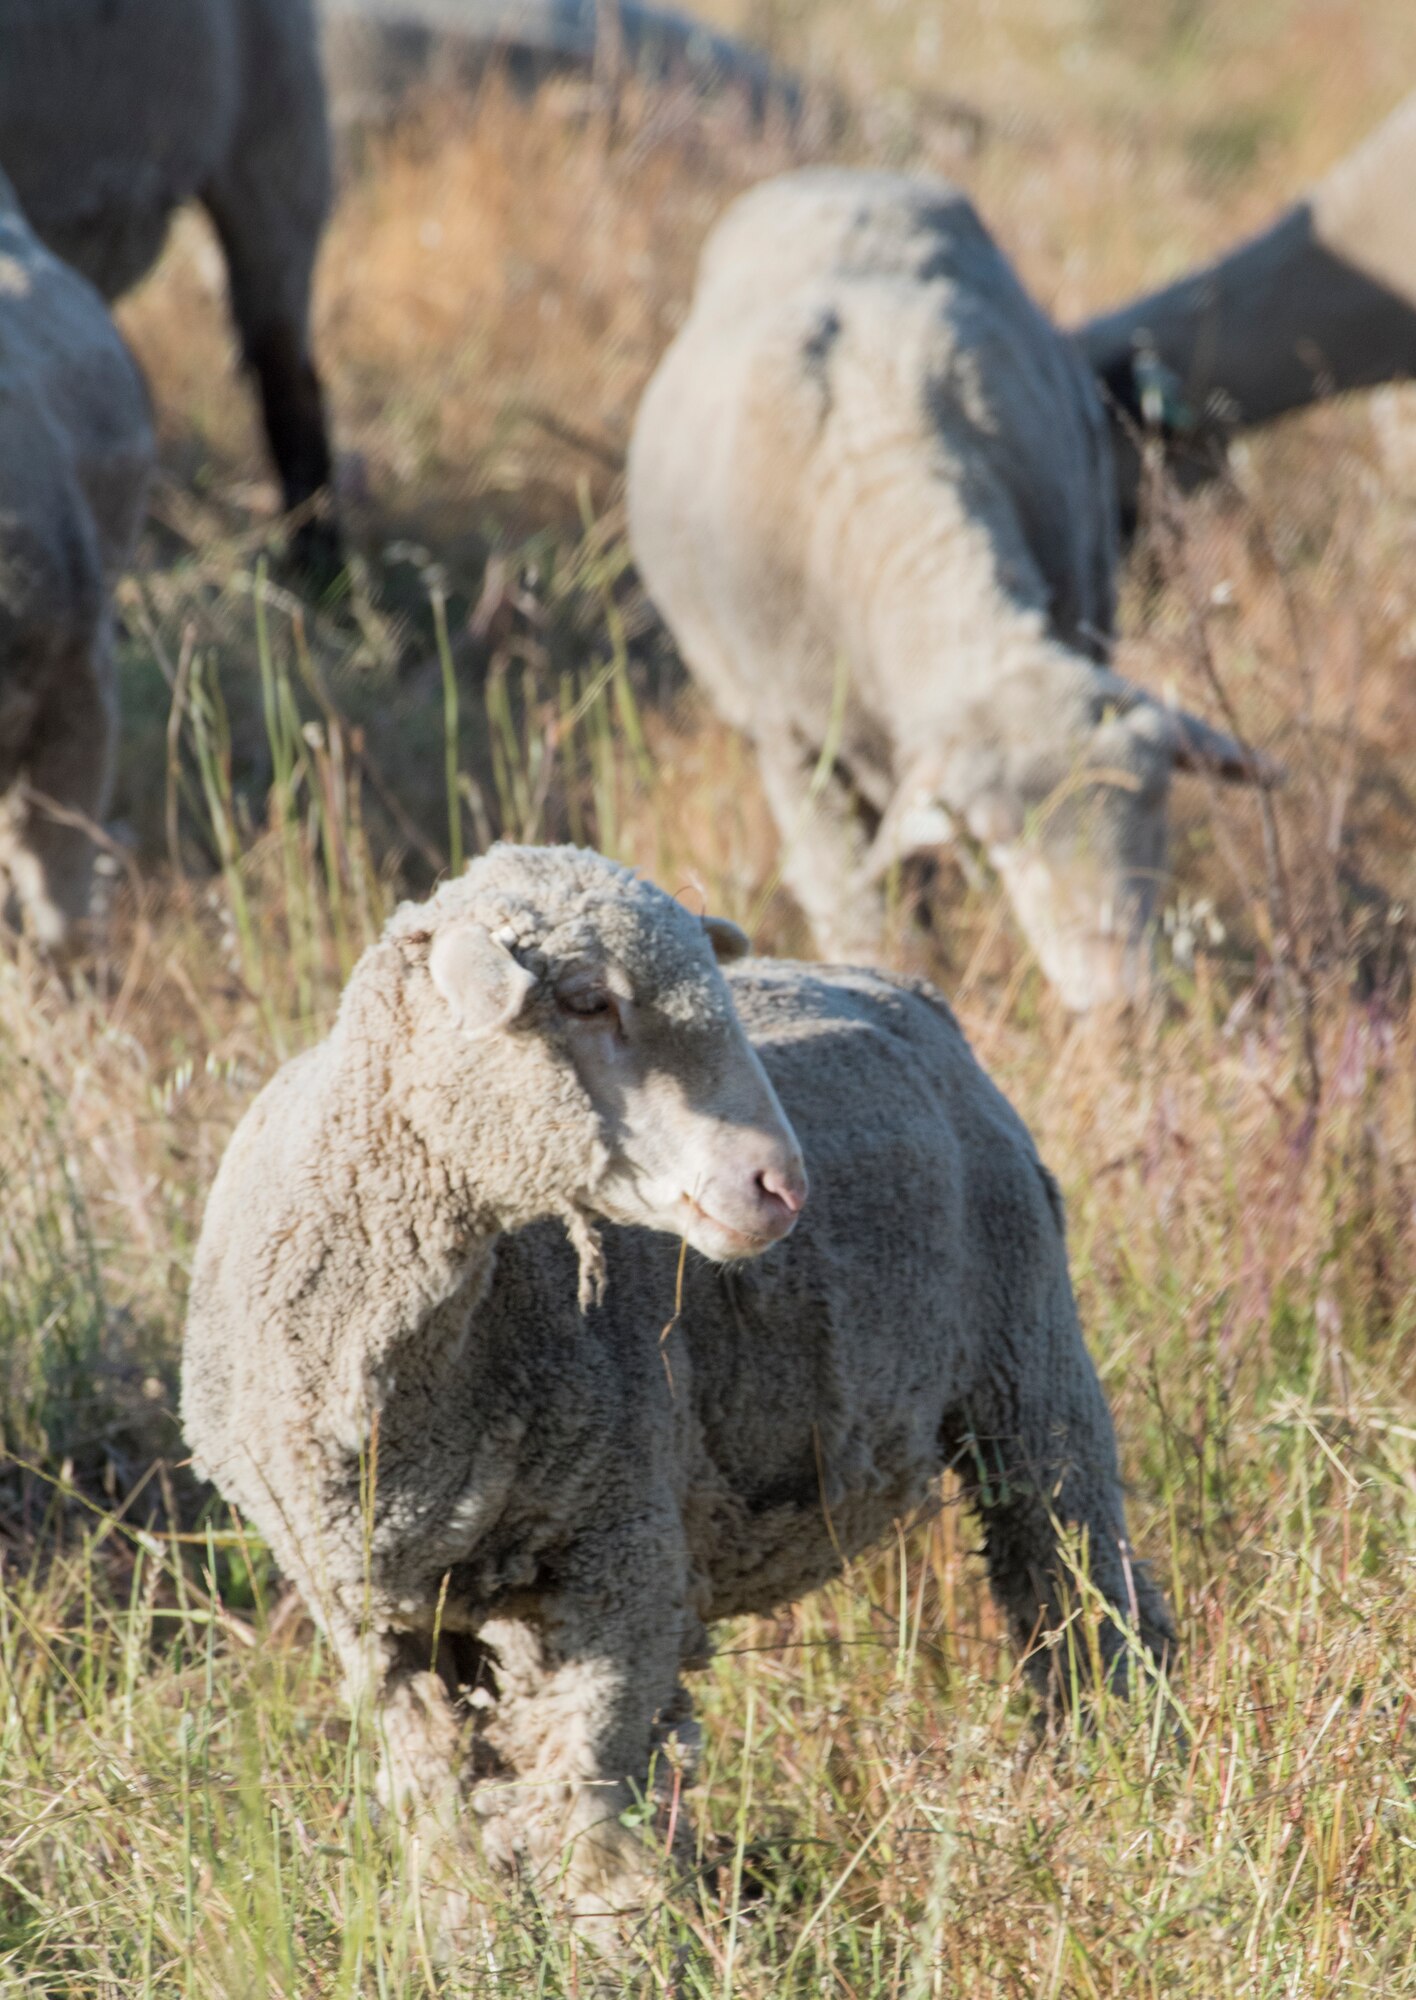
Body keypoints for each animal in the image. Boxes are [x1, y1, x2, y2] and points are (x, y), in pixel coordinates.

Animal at [180, 840, 1176, 1936]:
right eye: (585, 998)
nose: (782, 1186)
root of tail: (896, 984)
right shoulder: (364, 1607)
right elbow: (444, 1796)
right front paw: (467, 1932)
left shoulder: (622, 1550)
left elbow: (585, 1784)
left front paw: (621, 1936)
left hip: (1026, 1359)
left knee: (1079, 1584)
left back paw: (1114, 1759)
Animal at [628, 168, 1272, 1016]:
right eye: (1003, 837)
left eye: (1159, 811)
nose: (1119, 1000)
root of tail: (843, 176)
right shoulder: (793, 743)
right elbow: (857, 907)